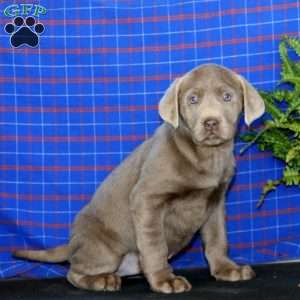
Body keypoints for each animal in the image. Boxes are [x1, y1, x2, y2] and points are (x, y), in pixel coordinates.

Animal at [13, 65, 264, 292]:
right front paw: (165, 281)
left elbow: (217, 239)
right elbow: (155, 245)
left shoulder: (215, 201)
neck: (207, 156)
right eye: (193, 99)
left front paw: (227, 269)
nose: (210, 122)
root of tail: (72, 243)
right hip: (105, 251)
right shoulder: (147, 199)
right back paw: (102, 280)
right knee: (73, 273)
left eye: (227, 96)